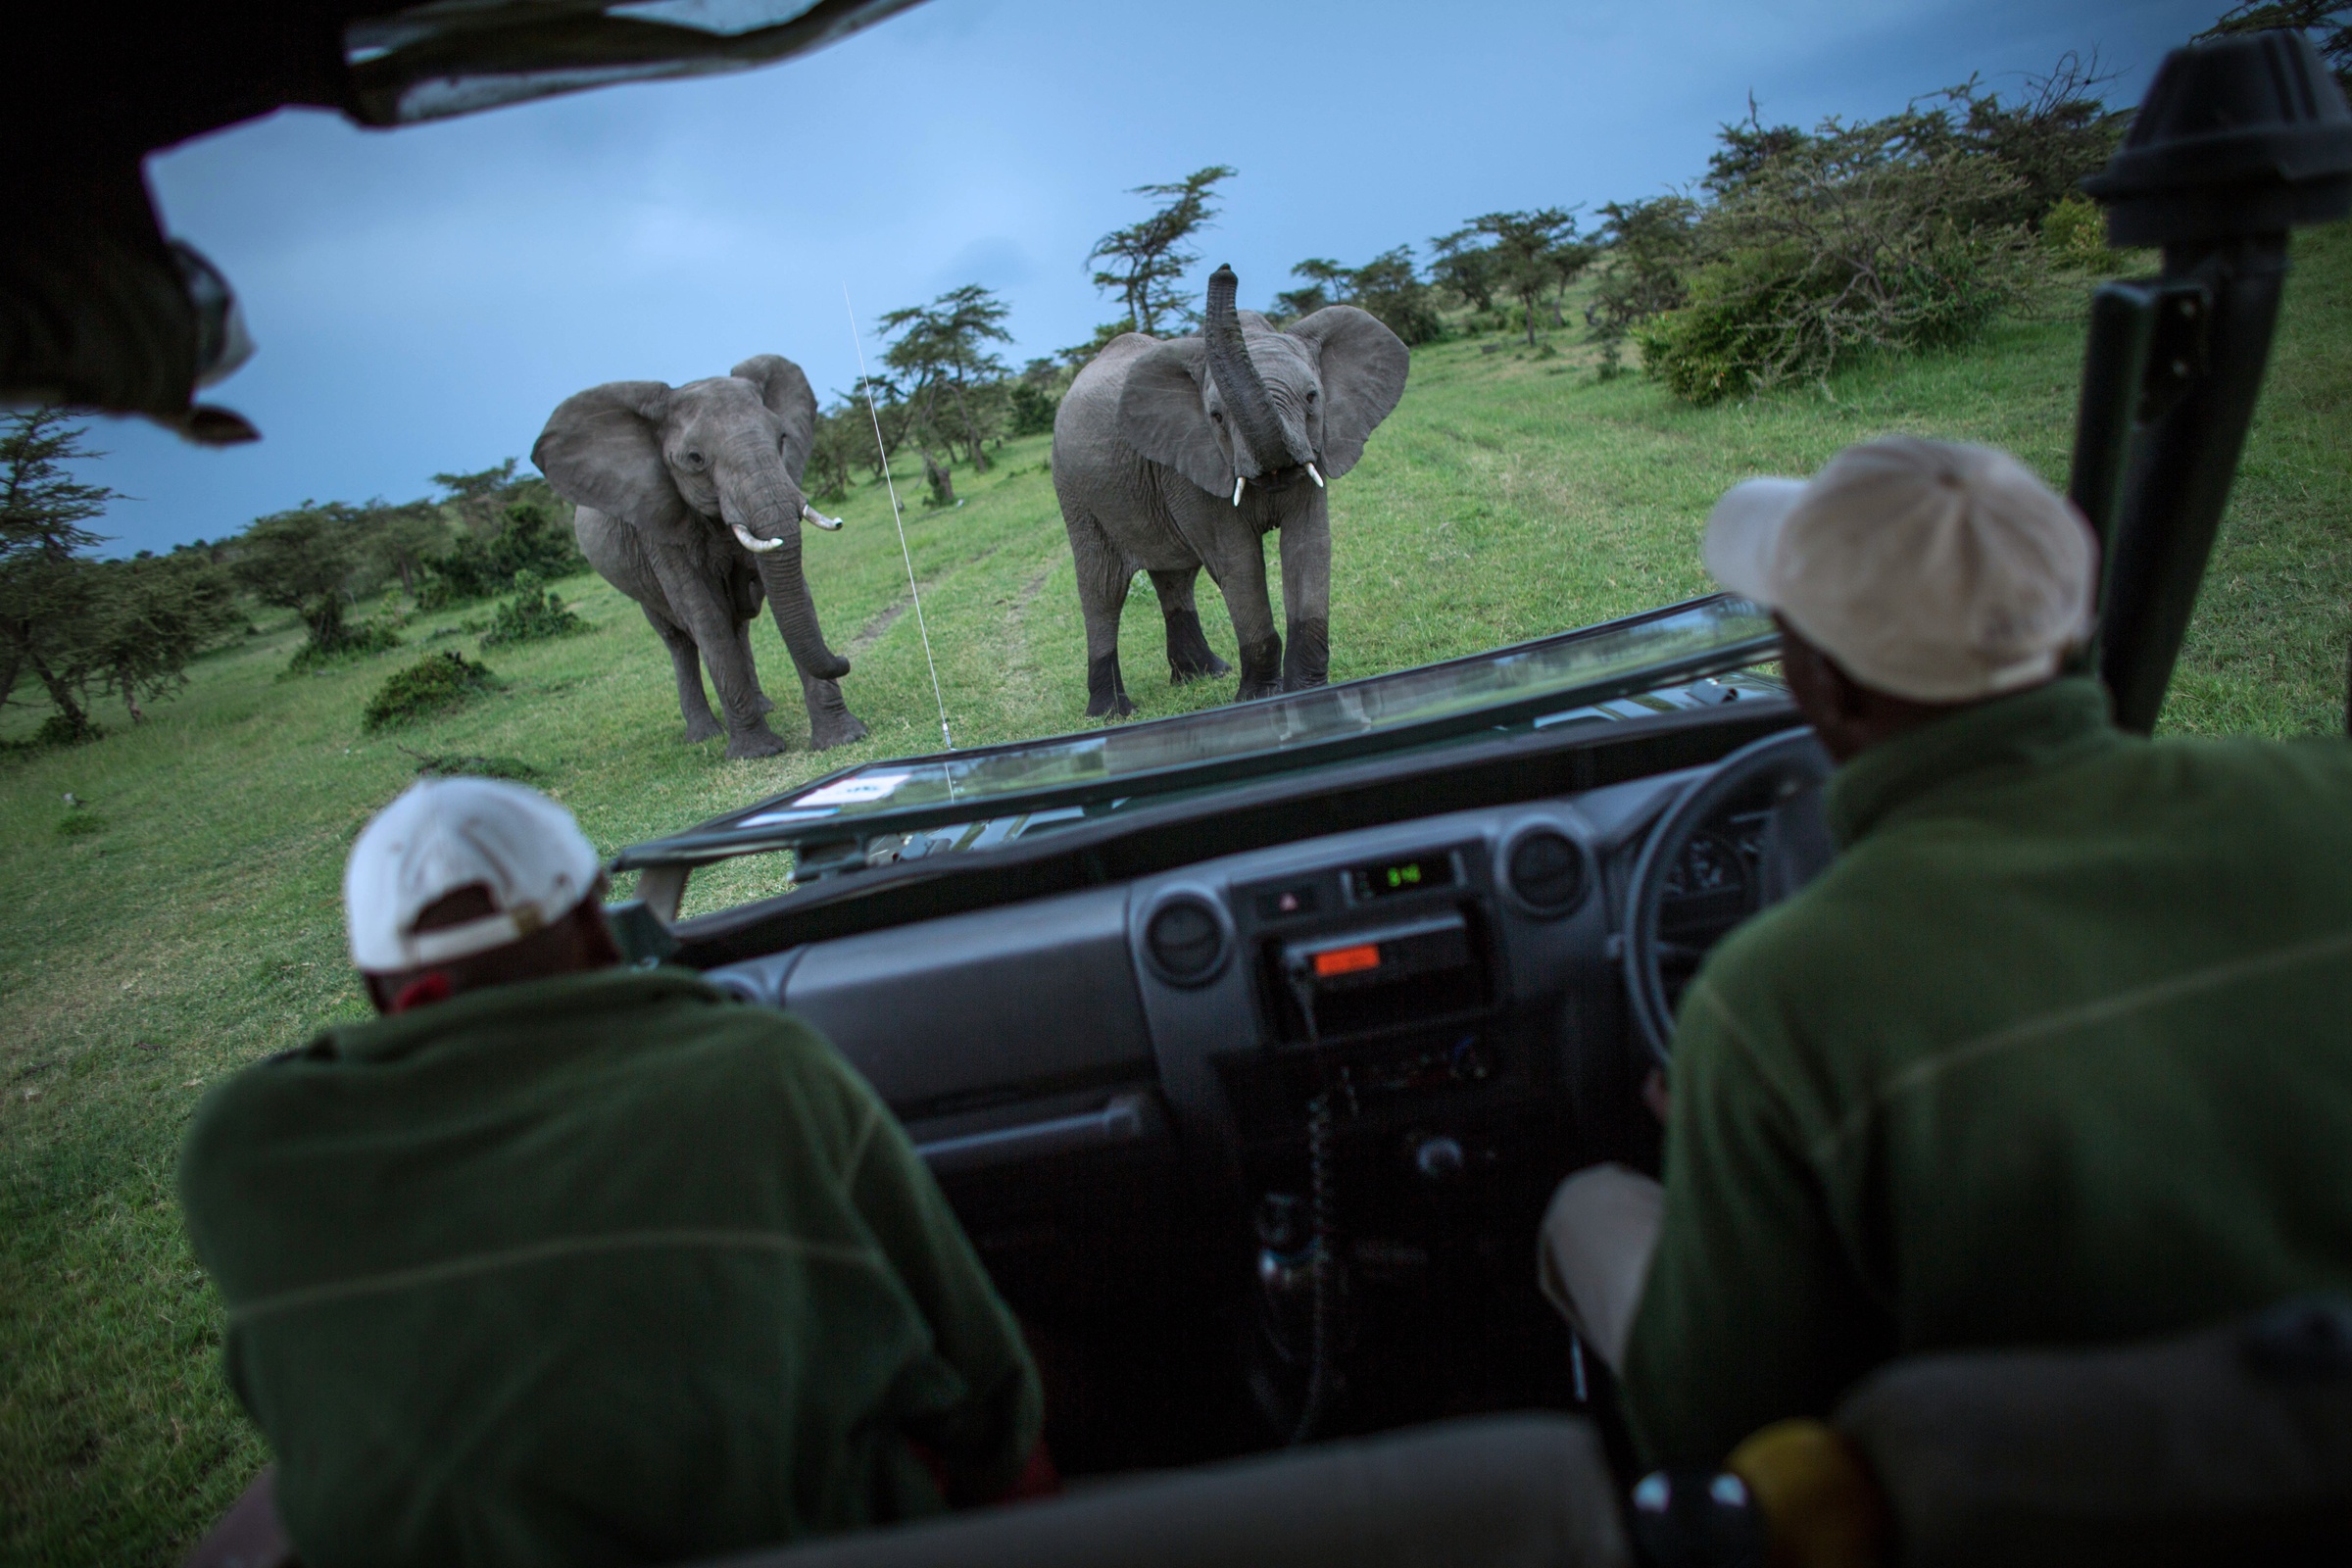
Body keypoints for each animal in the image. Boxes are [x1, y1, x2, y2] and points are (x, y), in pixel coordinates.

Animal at [532, 354, 869, 758]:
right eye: (694, 459)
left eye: (782, 439)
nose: (844, 660)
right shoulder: (658, 528)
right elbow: (705, 616)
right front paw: (755, 753)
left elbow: (794, 591)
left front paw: (843, 738)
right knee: (680, 642)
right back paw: (703, 734)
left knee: (738, 626)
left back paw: (762, 706)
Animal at [1050, 264, 1409, 718]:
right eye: (1217, 417)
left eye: (1312, 397)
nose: (1224, 269)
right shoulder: (1193, 468)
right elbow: (1238, 562)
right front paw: (1261, 698)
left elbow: (1308, 546)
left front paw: (1308, 691)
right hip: (1074, 490)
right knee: (1103, 589)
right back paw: (1112, 712)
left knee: (1175, 576)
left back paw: (1205, 675)